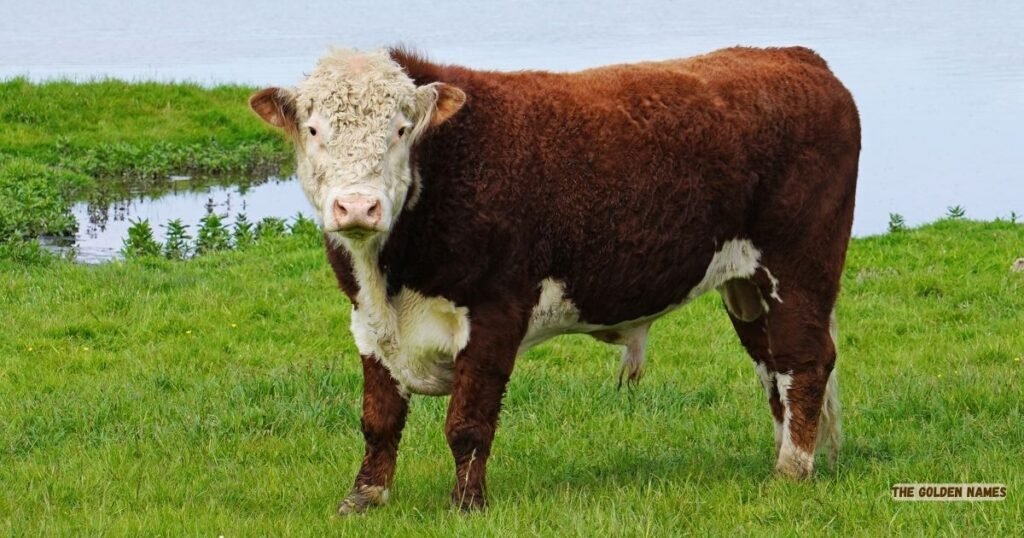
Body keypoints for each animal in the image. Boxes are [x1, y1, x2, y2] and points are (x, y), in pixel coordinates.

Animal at [249, 45, 860, 513]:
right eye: (313, 129)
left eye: (401, 130)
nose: (358, 206)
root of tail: (797, 58)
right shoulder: (367, 322)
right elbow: (379, 418)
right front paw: (364, 498)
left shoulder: (496, 311)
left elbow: (467, 423)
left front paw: (466, 505)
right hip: (747, 287)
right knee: (773, 367)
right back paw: (782, 457)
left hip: (799, 268)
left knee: (806, 362)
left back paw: (792, 471)